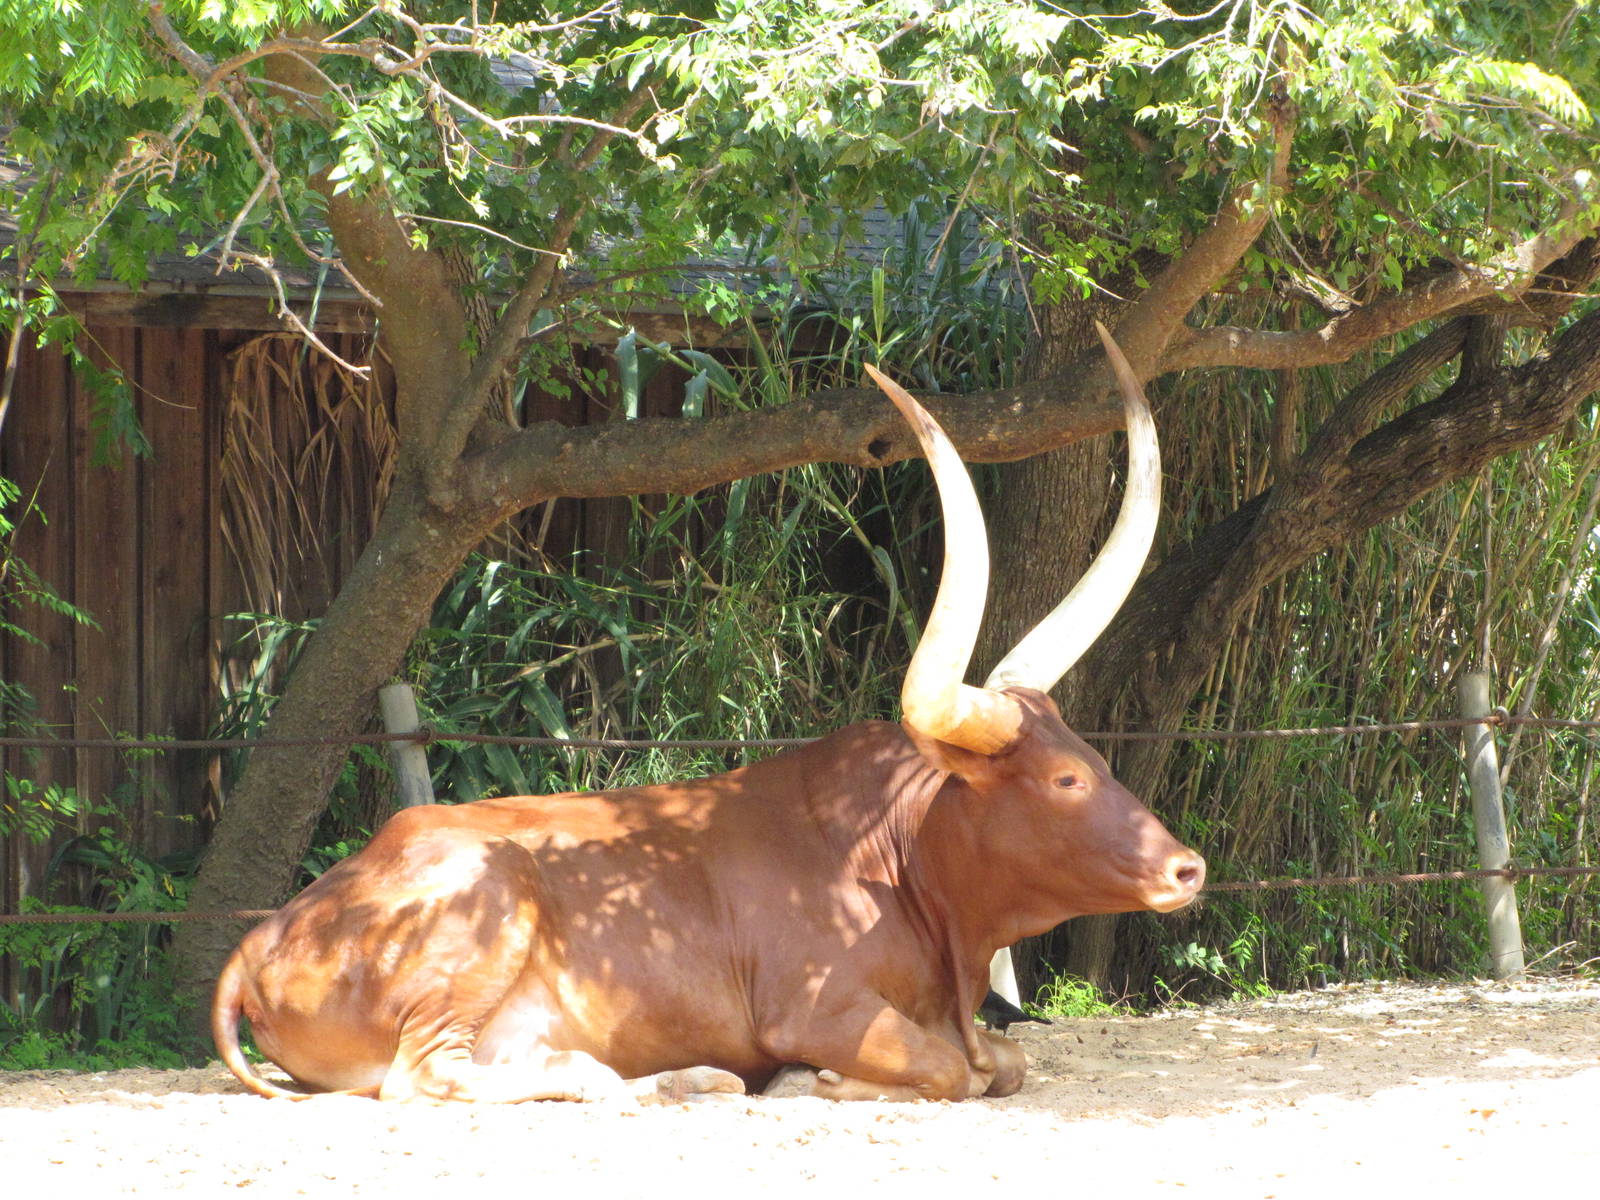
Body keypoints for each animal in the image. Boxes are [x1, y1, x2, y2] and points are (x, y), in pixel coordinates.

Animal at [212, 325, 1205, 1104]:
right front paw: (820, 1078)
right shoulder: (822, 1005)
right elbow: (954, 1070)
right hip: (481, 914)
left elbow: (1003, 1061)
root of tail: (261, 936)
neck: (899, 861)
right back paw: (622, 1080)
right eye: (1065, 779)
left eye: (1097, 760)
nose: (1187, 869)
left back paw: (686, 1077)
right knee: (426, 1077)